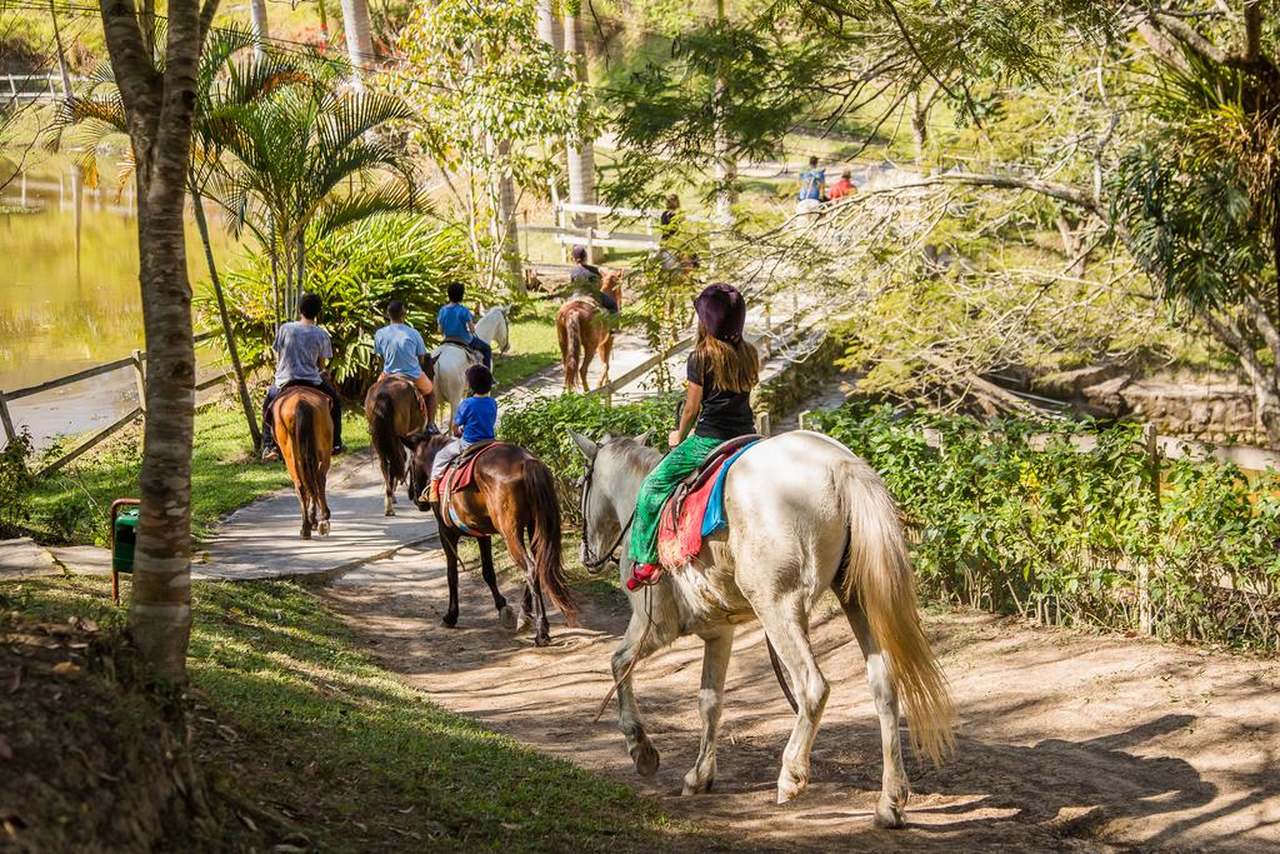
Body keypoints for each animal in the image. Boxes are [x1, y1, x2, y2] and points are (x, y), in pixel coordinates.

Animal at [275, 389, 335, 540]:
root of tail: (300, 402)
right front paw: (313, 519)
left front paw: (312, 520)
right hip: (321, 450)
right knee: (315, 480)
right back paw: (319, 521)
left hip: (291, 455)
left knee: (306, 484)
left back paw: (310, 525)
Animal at [404, 435, 576, 647]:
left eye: (410, 464)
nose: (413, 496)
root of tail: (527, 462)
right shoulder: (482, 534)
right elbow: (488, 572)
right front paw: (503, 608)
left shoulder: (446, 533)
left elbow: (452, 574)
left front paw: (451, 616)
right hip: (535, 526)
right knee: (539, 564)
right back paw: (525, 616)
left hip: (510, 533)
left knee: (530, 568)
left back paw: (540, 631)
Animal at [570, 430, 952, 824]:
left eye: (580, 484)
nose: (588, 556)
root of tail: (840, 464)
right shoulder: (719, 634)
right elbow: (710, 701)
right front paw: (700, 776)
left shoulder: (654, 625)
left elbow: (618, 664)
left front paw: (641, 749)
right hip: (856, 598)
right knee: (884, 688)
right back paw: (890, 801)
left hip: (777, 607)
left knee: (811, 685)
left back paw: (792, 774)